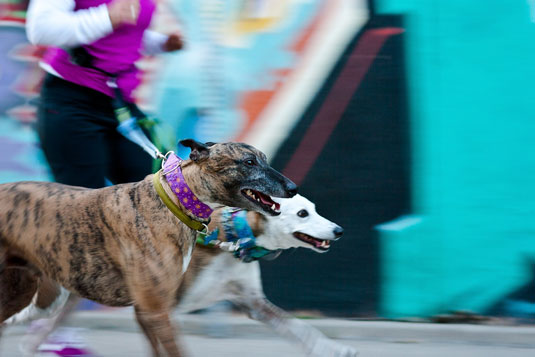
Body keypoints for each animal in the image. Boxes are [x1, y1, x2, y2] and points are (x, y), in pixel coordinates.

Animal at [0, 138, 298, 354]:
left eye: (264, 159)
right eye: (249, 162)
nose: (293, 187)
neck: (176, 201)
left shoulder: (148, 311)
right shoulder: (156, 310)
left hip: (24, 292)